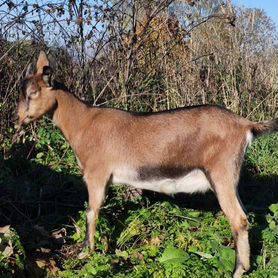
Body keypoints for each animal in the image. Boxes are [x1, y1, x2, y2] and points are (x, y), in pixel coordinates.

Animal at [15, 51, 278, 276]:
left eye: (32, 93)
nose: (19, 119)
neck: (83, 123)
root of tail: (245, 125)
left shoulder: (96, 174)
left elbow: (91, 212)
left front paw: (86, 253)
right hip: (230, 177)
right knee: (245, 216)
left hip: (220, 173)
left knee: (238, 219)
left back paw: (237, 271)